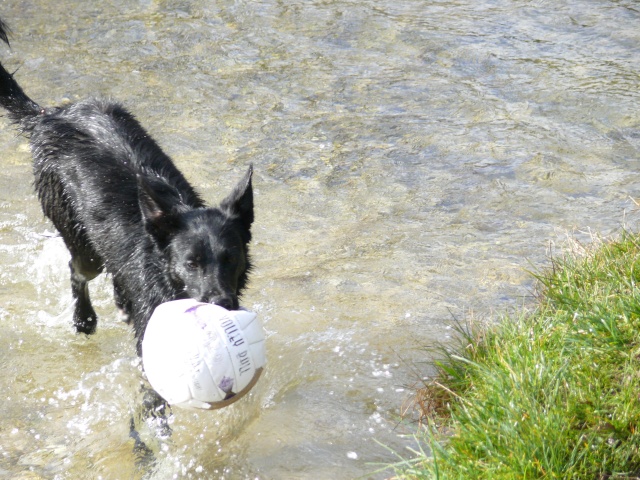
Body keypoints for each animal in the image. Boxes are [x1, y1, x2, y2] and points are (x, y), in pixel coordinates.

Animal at [0, 21, 254, 356]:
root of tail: (51, 116)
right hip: (78, 237)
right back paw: (84, 319)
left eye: (231, 258)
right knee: (78, 270)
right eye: (191, 263)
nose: (222, 304)